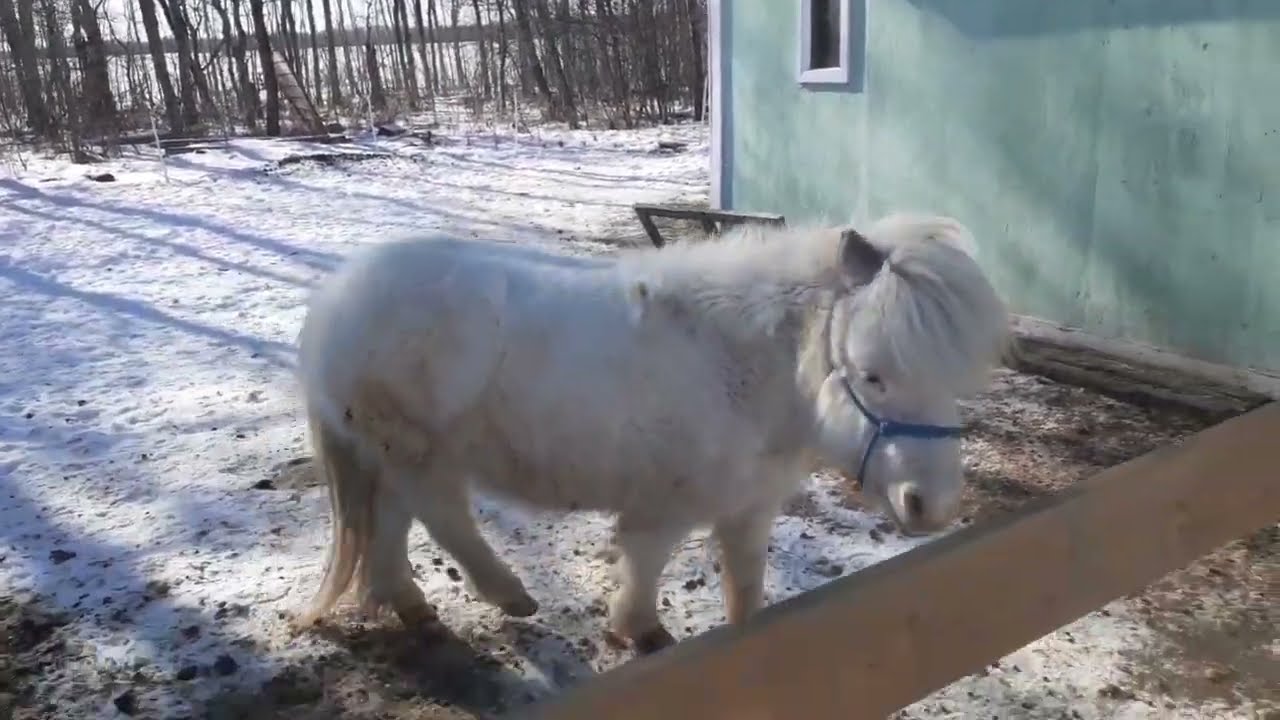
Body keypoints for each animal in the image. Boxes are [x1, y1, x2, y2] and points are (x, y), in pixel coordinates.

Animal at [291, 213, 1010, 653]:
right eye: (873, 374)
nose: (932, 506)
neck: (743, 366)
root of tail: (333, 302)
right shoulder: (666, 504)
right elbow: (646, 562)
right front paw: (638, 630)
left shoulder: (749, 506)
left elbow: (746, 586)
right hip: (418, 450)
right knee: (441, 515)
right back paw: (509, 595)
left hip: (390, 454)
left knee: (392, 518)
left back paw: (411, 604)